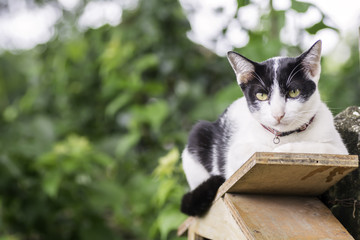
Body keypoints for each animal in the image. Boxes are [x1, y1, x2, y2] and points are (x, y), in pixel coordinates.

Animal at [180, 40, 348, 217]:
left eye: (294, 92)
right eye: (261, 95)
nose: (278, 114)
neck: (285, 135)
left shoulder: (339, 150)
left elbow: (320, 148)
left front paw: (283, 150)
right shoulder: (236, 151)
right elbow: (249, 152)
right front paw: (274, 150)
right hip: (198, 136)